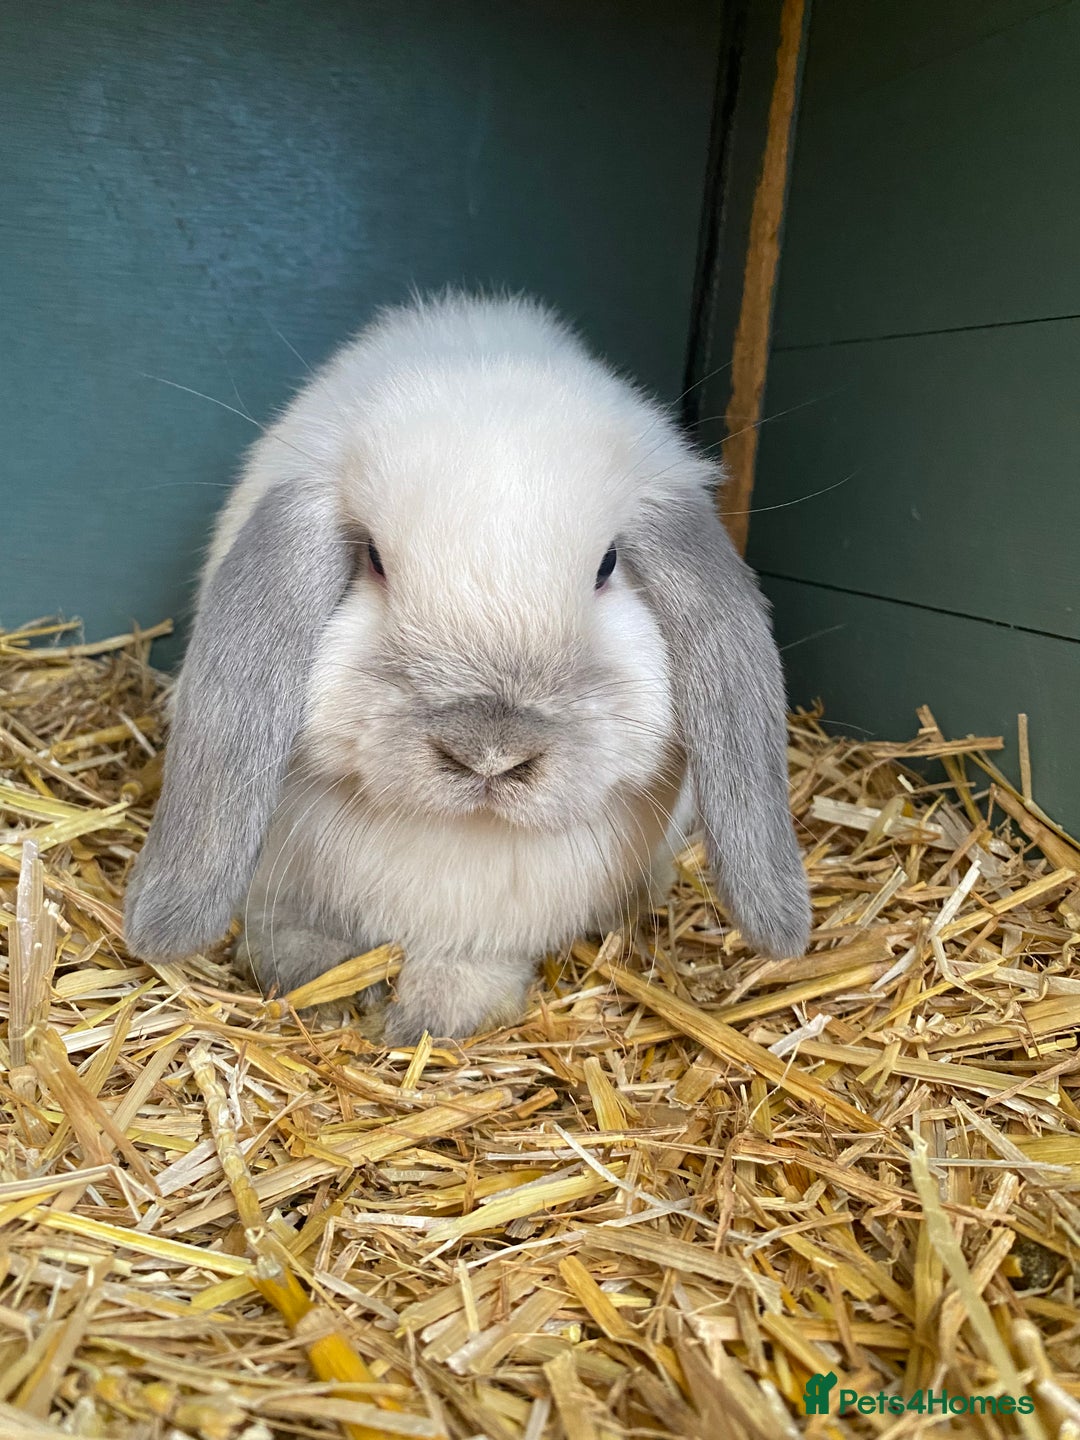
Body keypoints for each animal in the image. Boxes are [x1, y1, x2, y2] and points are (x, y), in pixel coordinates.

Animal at [123, 291, 810, 1043]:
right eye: (375, 561)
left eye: (607, 565)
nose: (489, 753)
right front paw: (313, 981)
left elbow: (470, 965)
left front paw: (430, 1019)